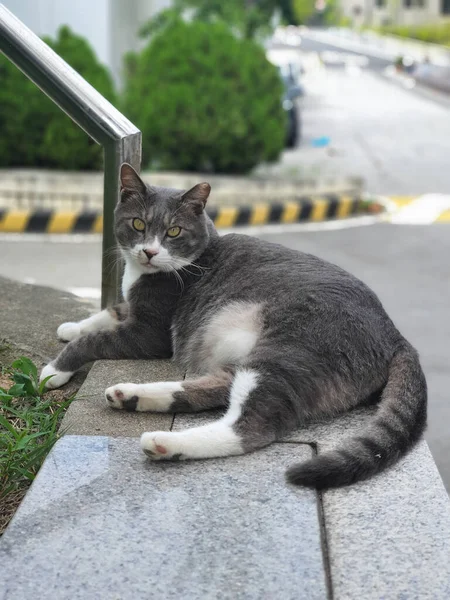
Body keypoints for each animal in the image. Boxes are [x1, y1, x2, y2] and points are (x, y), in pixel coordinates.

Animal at [40, 163, 428, 488]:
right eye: (138, 224)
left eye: (173, 231)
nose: (149, 252)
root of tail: (397, 335)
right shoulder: (131, 308)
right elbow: (109, 311)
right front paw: (72, 326)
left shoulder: (148, 333)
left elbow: (96, 340)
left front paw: (55, 368)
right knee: (217, 387)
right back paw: (133, 395)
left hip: (289, 350)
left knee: (251, 427)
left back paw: (165, 442)